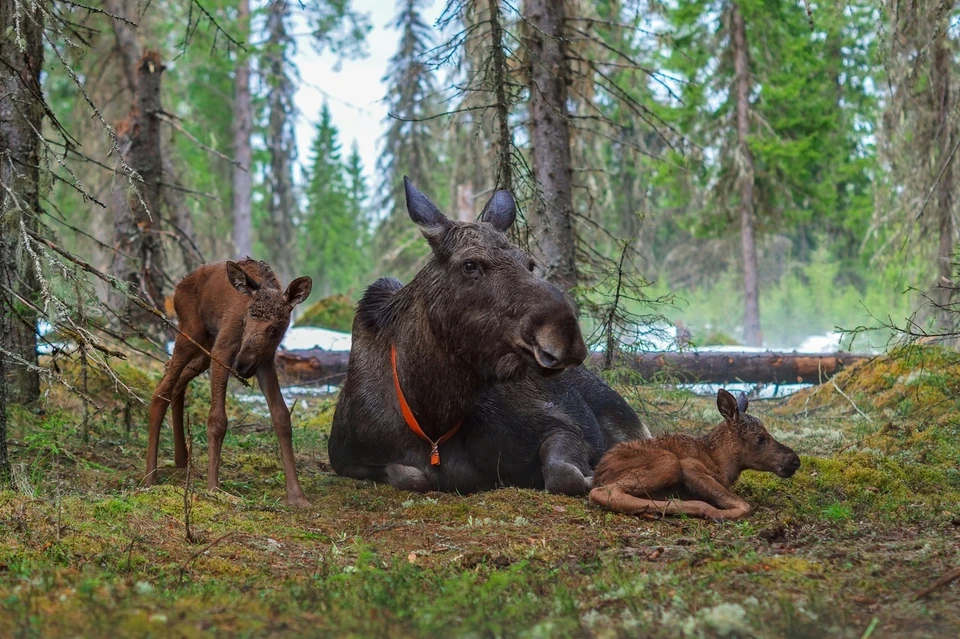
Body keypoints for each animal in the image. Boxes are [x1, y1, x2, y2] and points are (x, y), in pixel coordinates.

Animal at [144, 258, 314, 508]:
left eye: (275, 328)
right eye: (244, 321)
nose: (241, 365)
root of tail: (180, 284)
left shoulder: (265, 362)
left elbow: (282, 417)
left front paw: (297, 496)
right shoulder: (222, 351)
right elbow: (217, 420)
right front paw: (214, 488)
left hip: (205, 349)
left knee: (175, 383)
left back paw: (182, 460)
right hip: (190, 333)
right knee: (162, 389)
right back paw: (150, 476)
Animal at [326, 179, 648, 496]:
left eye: (529, 263)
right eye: (470, 265)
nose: (566, 335)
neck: (432, 417)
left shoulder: (560, 424)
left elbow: (562, 474)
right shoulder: (344, 459)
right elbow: (409, 475)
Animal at [588, 390, 800, 520]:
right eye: (760, 438)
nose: (795, 460)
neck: (725, 466)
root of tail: (599, 473)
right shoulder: (690, 467)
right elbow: (744, 506)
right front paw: (719, 514)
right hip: (669, 462)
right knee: (603, 492)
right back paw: (698, 507)